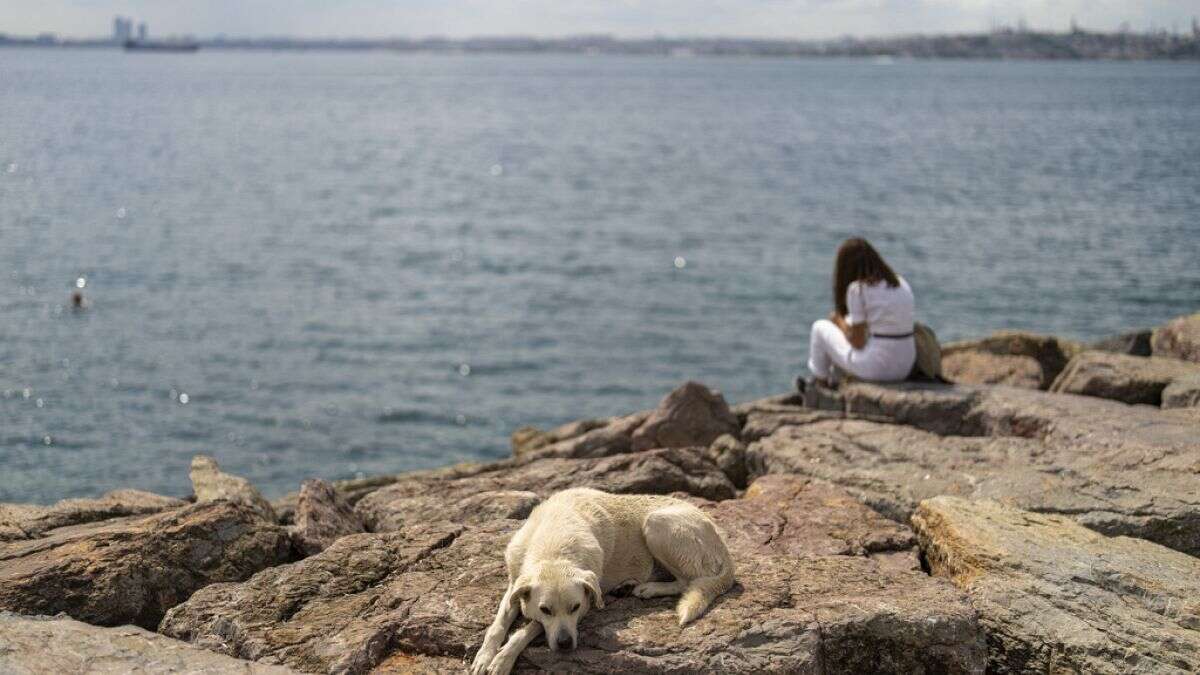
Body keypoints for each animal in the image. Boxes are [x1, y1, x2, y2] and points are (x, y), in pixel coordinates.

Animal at [465, 485, 729, 672]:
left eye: (575, 607)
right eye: (546, 609)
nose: (565, 644)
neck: (553, 545)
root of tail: (723, 544)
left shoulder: (585, 603)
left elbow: (528, 629)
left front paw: (503, 659)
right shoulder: (514, 584)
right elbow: (498, 625)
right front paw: (484, 656)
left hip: (656, 524)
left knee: (688, 582)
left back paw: (649, 588)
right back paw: (627, 586)